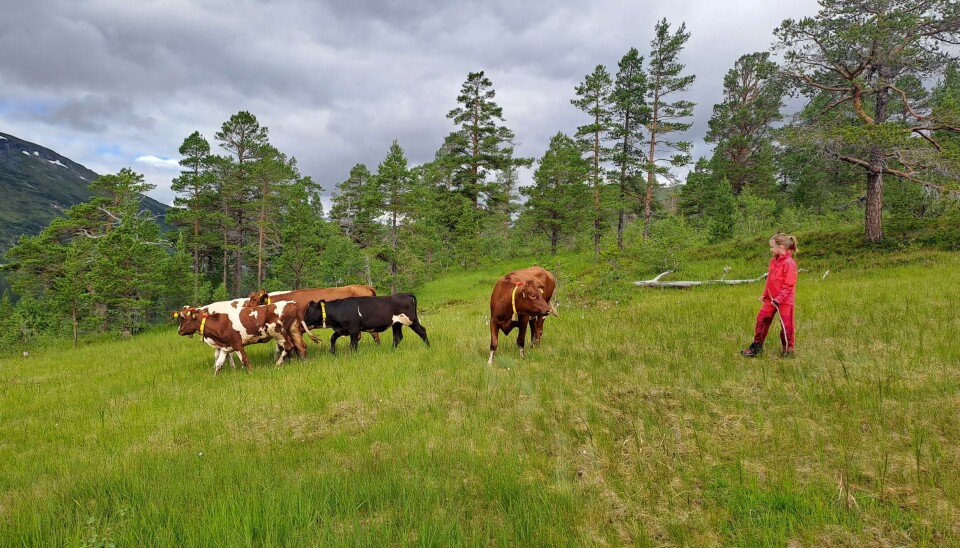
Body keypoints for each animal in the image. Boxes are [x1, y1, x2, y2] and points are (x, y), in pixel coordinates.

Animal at [174, 302, 306, 374]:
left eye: (185, 320)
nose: (179, 331)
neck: (218, 323)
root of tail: (291, 303)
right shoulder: (225, 347)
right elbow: (219, 365)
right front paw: (214, 379)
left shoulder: (237, 344)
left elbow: (245, 360)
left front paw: (252, 373)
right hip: (293, 330)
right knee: (301, 347)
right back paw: (304, 364)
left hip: (278, 332)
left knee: (289, 346)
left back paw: (278, 364)